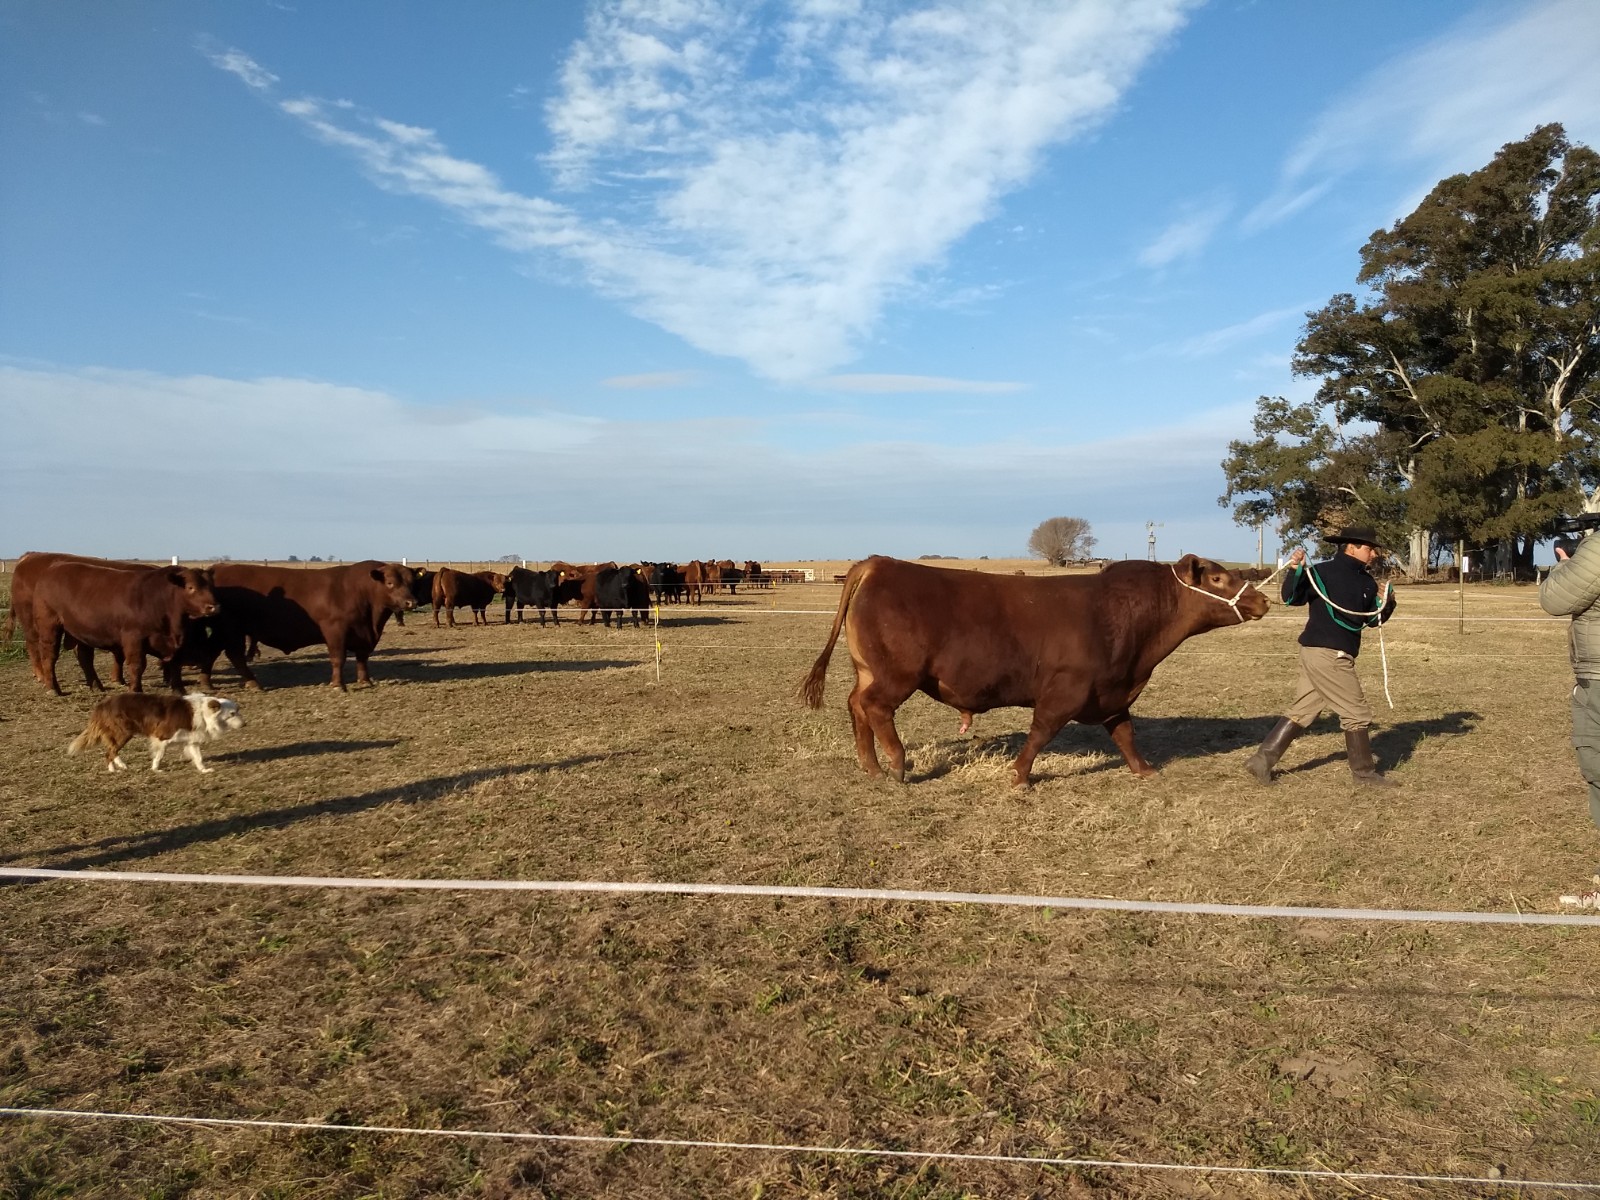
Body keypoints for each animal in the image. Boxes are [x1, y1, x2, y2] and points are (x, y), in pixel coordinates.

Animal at [66, 691, 246, 774]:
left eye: (238, 711)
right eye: (232, 714)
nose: (245, 724)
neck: (203, 712)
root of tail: (102, 704)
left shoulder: (191, 740)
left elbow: (198, 757)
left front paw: (204, 770)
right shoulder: (162, 737)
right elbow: (159, 755)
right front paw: (156, 769)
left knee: (110, 751)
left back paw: (118, 766)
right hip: (123, 732)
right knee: (110, 751)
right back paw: (115, 768)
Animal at [806, 556, 1267, 784]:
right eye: (1219, 579)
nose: (1261, 600)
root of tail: (879, 563)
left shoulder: (1112, 693)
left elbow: (1125, 734)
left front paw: (1145, 770)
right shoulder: (1067, 691)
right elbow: (1041, 732)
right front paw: (1020, 776)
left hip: (870, 670)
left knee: (856, 706)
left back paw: (870, 766)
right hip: (895, 676)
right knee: (874, 708)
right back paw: (897, 765)